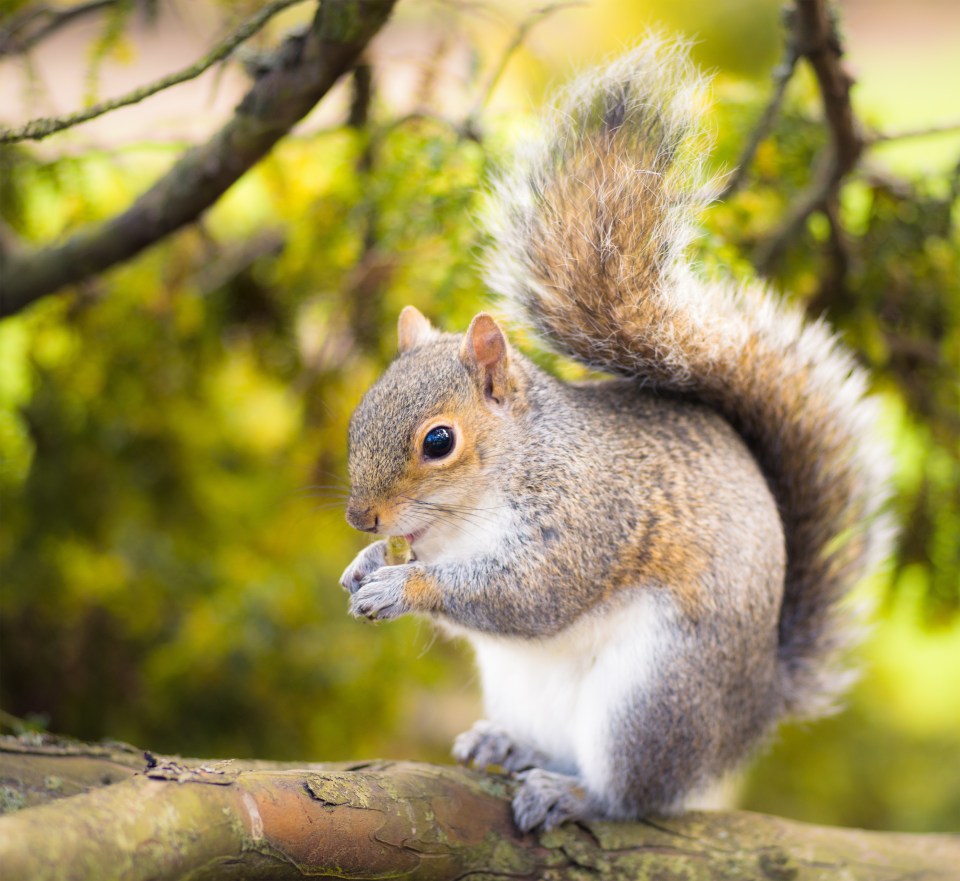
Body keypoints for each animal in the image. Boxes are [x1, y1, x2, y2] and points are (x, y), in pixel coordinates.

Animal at [338, 36, 892, 832]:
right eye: (359, 414)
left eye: (438, 442)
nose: (362, 517)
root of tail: (754, 710)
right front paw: (360, 565)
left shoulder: (586, 516)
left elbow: (531, 595)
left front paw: (398, 584)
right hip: (523, 685)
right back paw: (507, 744)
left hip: (652, 695)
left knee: (632, 792)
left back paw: (572, 792)